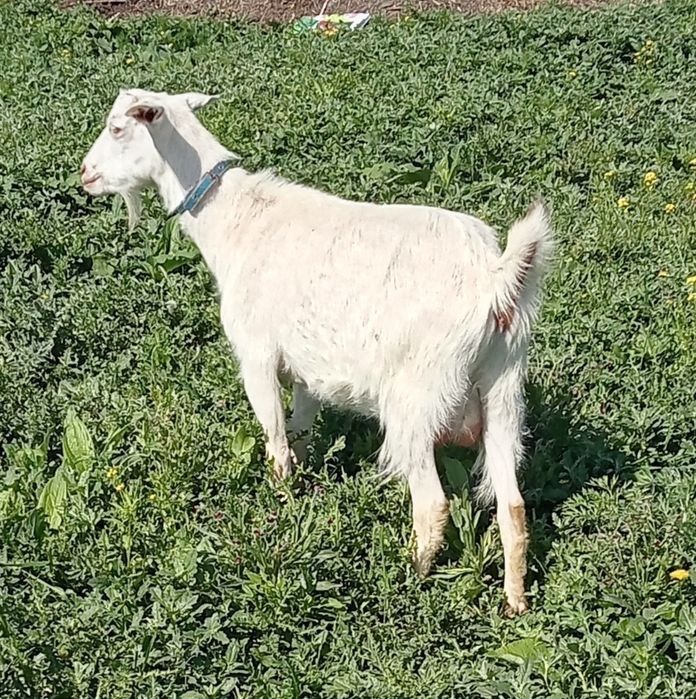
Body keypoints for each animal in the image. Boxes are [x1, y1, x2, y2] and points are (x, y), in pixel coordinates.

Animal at [81, 88, 553, 615]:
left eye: (118, 127)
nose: (85, 174)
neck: (235, 222)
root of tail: (494, 280)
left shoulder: (257, 355)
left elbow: (275, 437)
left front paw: (281, 506)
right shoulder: (307, 369)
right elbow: (301, 430)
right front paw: (302, 489)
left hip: (416, 397)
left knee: (433, 503)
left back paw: (410, 577)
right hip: (503, 387)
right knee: (513, 505)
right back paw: (515, 603)